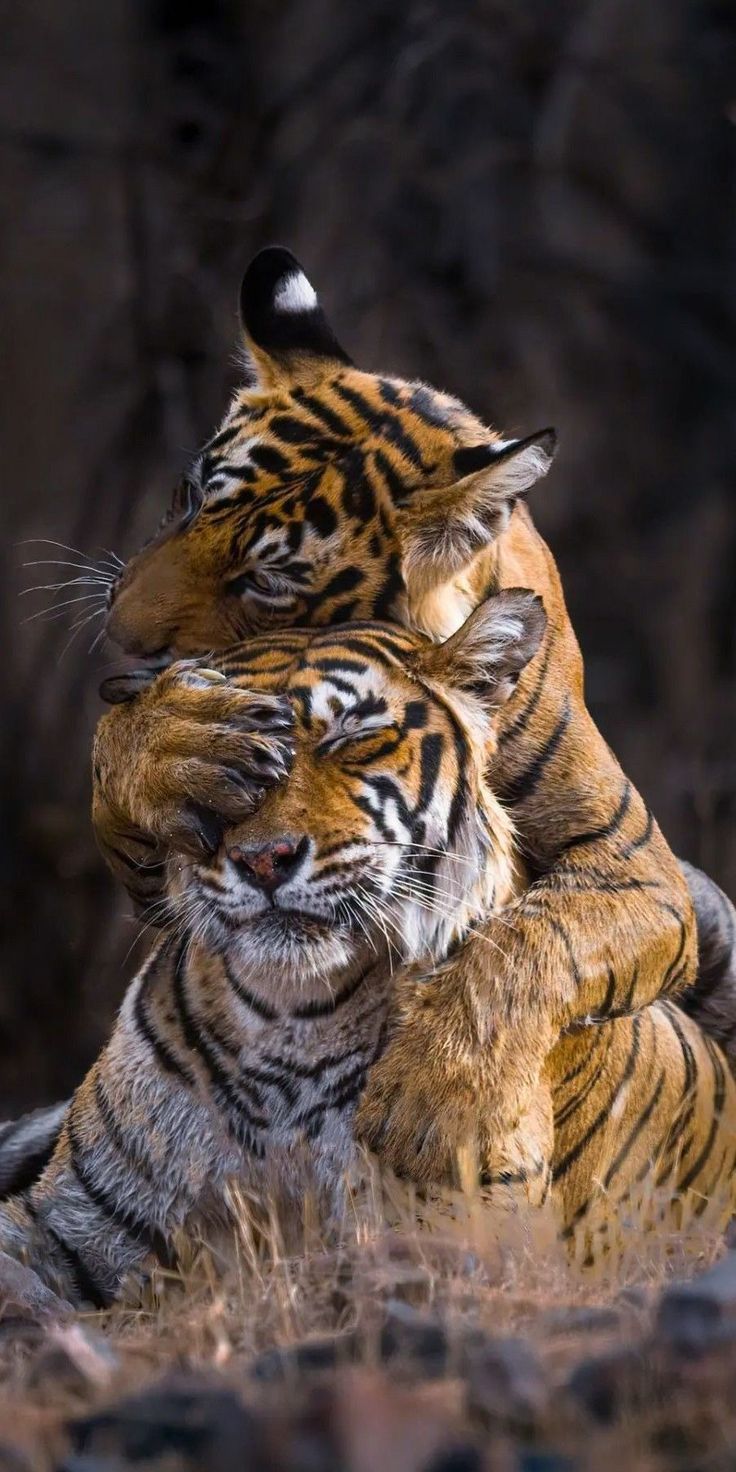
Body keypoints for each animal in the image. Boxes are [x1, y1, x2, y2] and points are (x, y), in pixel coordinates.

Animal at [2, 597, 733, 1313]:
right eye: (225, 774)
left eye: (351, 737)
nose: (262, 859)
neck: (291, 1021)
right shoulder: (72, 1220)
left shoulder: (473, 1244)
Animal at [80, 241, 730, 1189]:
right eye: (192, 498)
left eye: (266, 580)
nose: (115, 635)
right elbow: (125, 741)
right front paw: (183, 741)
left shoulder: (639, 870)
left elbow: (531, 942)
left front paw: (442, 1105)